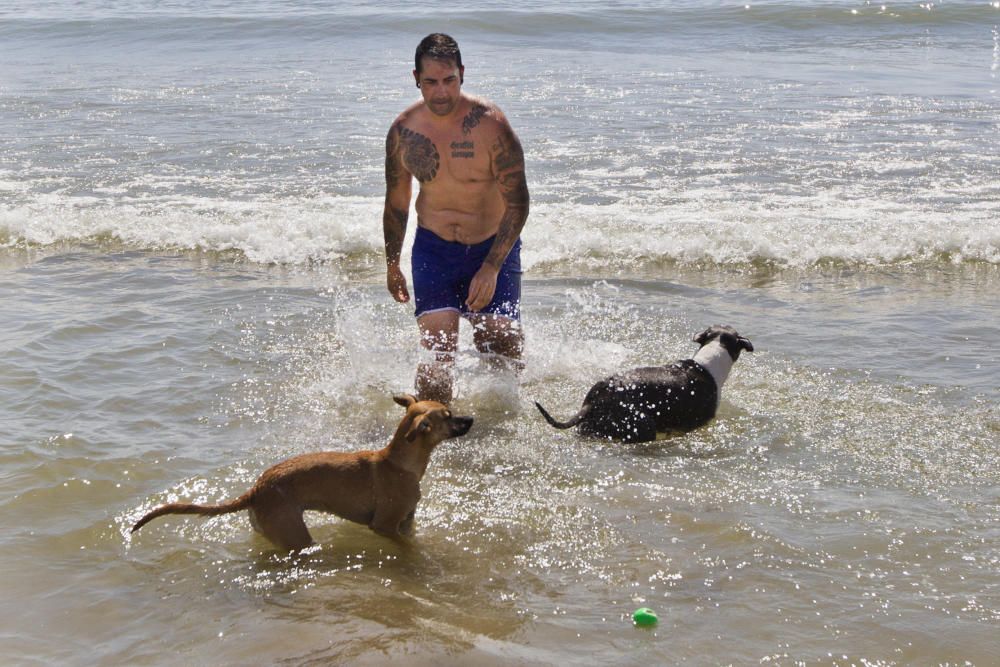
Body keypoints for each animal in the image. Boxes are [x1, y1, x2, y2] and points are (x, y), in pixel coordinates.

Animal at [132, 394, 472, 552]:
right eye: (448, 415)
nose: (471, 419)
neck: (399, 463)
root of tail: (256, 489)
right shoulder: (385, 526)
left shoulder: (406, 522)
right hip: (295, 535)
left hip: (272, 530)